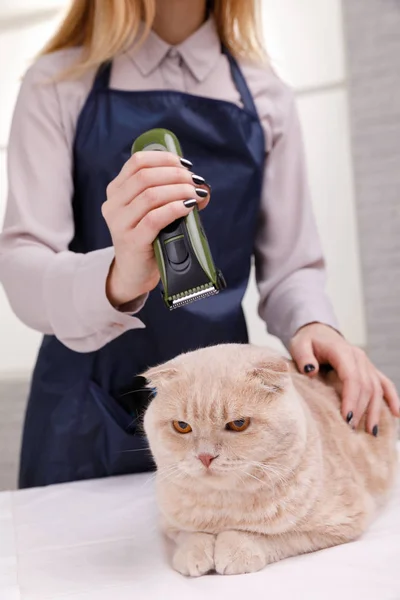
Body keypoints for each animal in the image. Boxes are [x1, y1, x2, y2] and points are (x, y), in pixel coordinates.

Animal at [143, 342, 396, 576]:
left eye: (239, 424)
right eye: (182, 426)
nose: (205, 456)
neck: (223, 508)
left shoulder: (342, 521)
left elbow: (275, 536)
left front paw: (237, 548)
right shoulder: (168, 520)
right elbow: (187, 533)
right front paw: (192, 551)